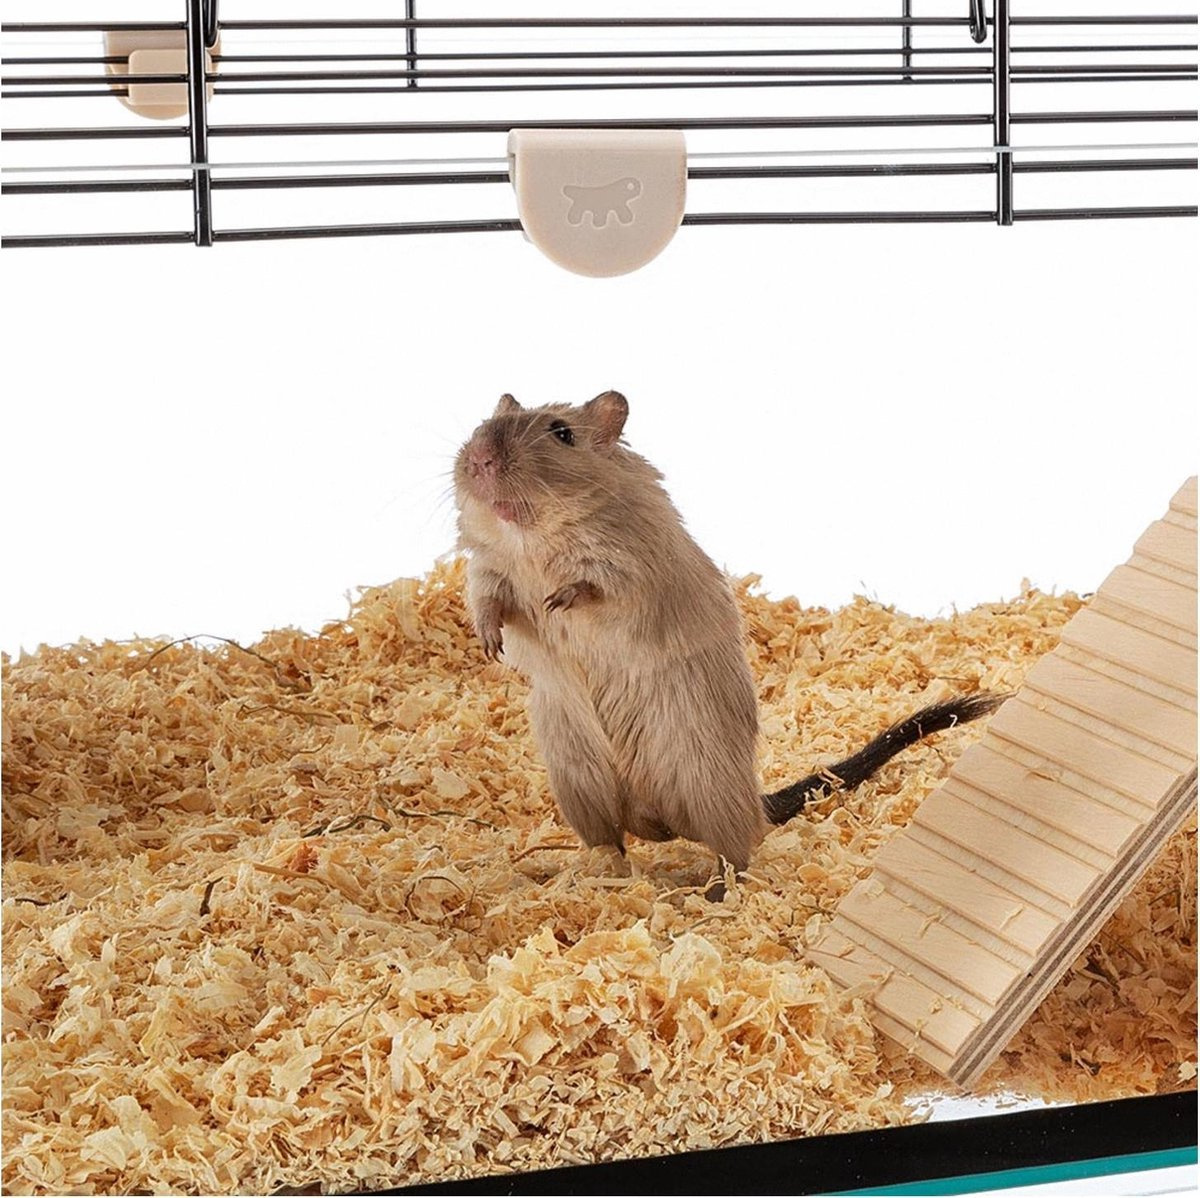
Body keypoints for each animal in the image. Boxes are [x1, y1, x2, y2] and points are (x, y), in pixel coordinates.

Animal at [453, 391, 1002, 885]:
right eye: (481, 425)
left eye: (562, 434)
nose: (479, 459)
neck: (530, 535)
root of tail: (659, 820)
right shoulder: (487, 568)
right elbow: (487, 599)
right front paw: (491, 645)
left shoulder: (627, 568)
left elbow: (594, 585)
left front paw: (557, 601)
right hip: (579, 785)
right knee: (612, 843)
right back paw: (588, 877)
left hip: (706, 781)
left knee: (735, 852)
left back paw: (716, 893)